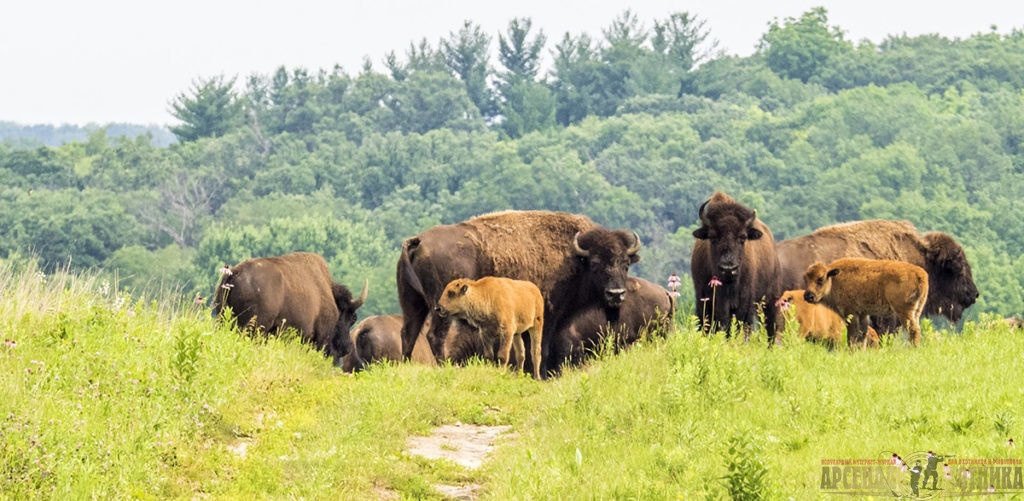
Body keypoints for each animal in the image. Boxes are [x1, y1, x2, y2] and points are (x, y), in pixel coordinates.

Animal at [397, 209, 638, 377]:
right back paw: (444, 367)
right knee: (434, 335)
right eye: (596, 263)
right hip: (441, 307)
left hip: (413, 304)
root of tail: (418, 241)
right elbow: (540, 348)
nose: (616, 294)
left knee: (408, 334)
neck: (575, 258)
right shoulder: (547, 317)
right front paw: (540, 375)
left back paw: (405, 366)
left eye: (626, 264)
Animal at [688, 191, 782, 344]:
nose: (728, 268)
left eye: (743, 237)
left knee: (770, 327)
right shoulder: (705, 300)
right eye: (712, 237)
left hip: (770, 299)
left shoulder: (745, 302)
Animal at [802, 256, 933, 346]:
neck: (834, 279)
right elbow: (862, 335)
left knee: (913, 330)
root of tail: (920, 274)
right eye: (806, 278)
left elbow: (852, 336)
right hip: (917, 310)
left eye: (820, 279)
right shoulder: (863, 314)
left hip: (904, 311)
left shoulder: (851, 313)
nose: (808, 296)